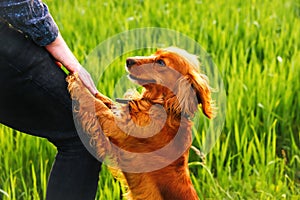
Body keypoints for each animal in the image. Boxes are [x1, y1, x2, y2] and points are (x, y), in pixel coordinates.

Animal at [67, 47, 213, 200]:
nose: (128, 60)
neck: (162, 105)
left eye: (161, 62)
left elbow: (97, 104)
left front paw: (77, 80)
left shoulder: (118, 130)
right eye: (154, 53)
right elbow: (103, 99)